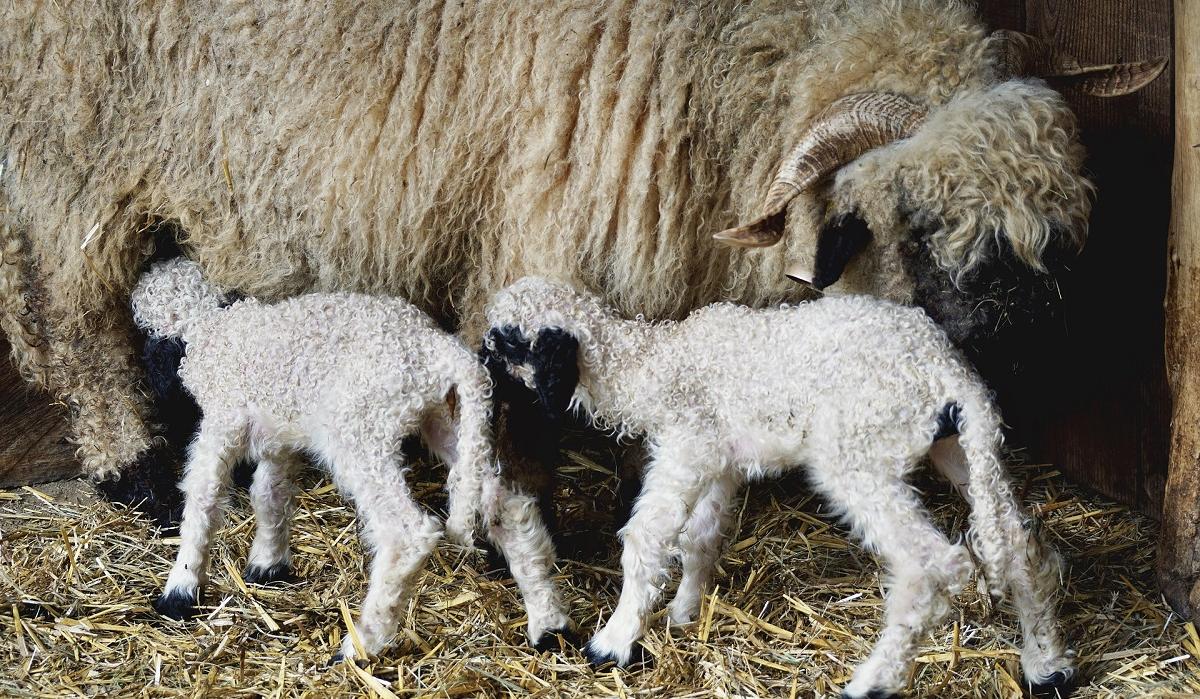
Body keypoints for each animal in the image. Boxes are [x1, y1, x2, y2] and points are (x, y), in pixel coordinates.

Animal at [0, 1, 1161, 509]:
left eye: (1055, 238)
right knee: (74, 310)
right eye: (910, 224)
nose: (1011, 362)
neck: (726, 77)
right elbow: (521, 405)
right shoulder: (534, 229)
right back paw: (131, 469)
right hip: (77, 148)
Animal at [126, 260, 492, 667]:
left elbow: (202, 496)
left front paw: (181, 589)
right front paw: (268, 564)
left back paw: (362, 642)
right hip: (445, 420)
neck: (212, 326)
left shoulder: (224, 420)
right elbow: (269, 494)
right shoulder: (278, 435)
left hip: (360, 430)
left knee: (406, 532)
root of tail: (441, 349)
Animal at [484, 276, 1080, 699]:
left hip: (858, 454)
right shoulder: (720, 461)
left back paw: (874, 682)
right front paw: (685, 613)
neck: (652, 363)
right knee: (1021, 545)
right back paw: (1046, 668)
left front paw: (615, 641)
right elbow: (700, 540)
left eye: (503, 342)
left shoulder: (687, 446)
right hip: (962, 445)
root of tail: (948, 372)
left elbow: (647, 539)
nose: (483, 373)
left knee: (933, 564)